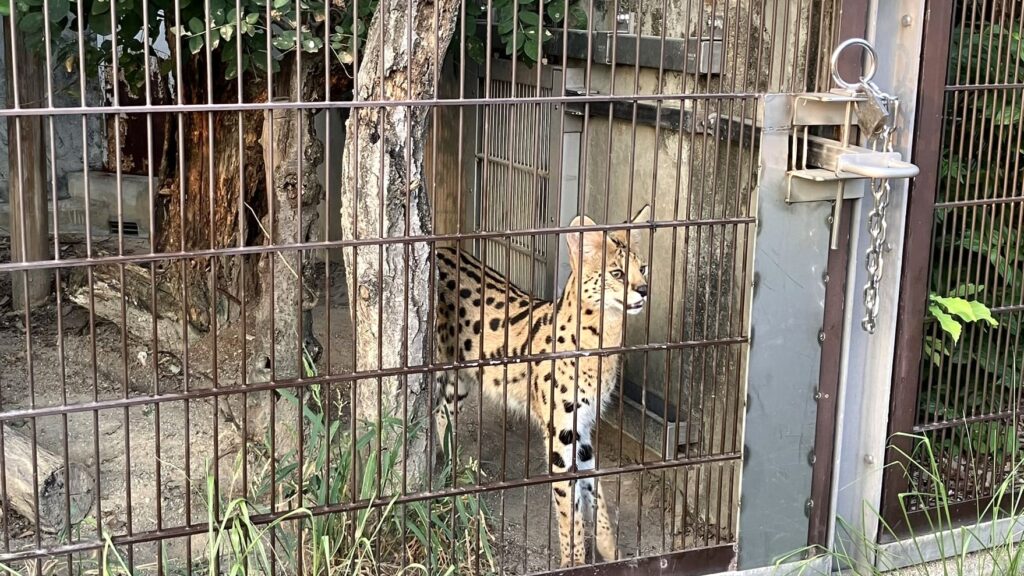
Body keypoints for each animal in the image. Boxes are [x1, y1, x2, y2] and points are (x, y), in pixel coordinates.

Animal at [432, 203, 647, 561]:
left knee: (440, 413)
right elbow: (570, 511)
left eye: (643, 268)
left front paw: (609, 550)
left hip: (459, 378)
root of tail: (439, 248)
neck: (603, 339)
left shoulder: (582, 429)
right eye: (617, 273)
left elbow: (596, 491)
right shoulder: (560, 433)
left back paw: (452, 469)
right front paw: (574, 561)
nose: (644, 290)